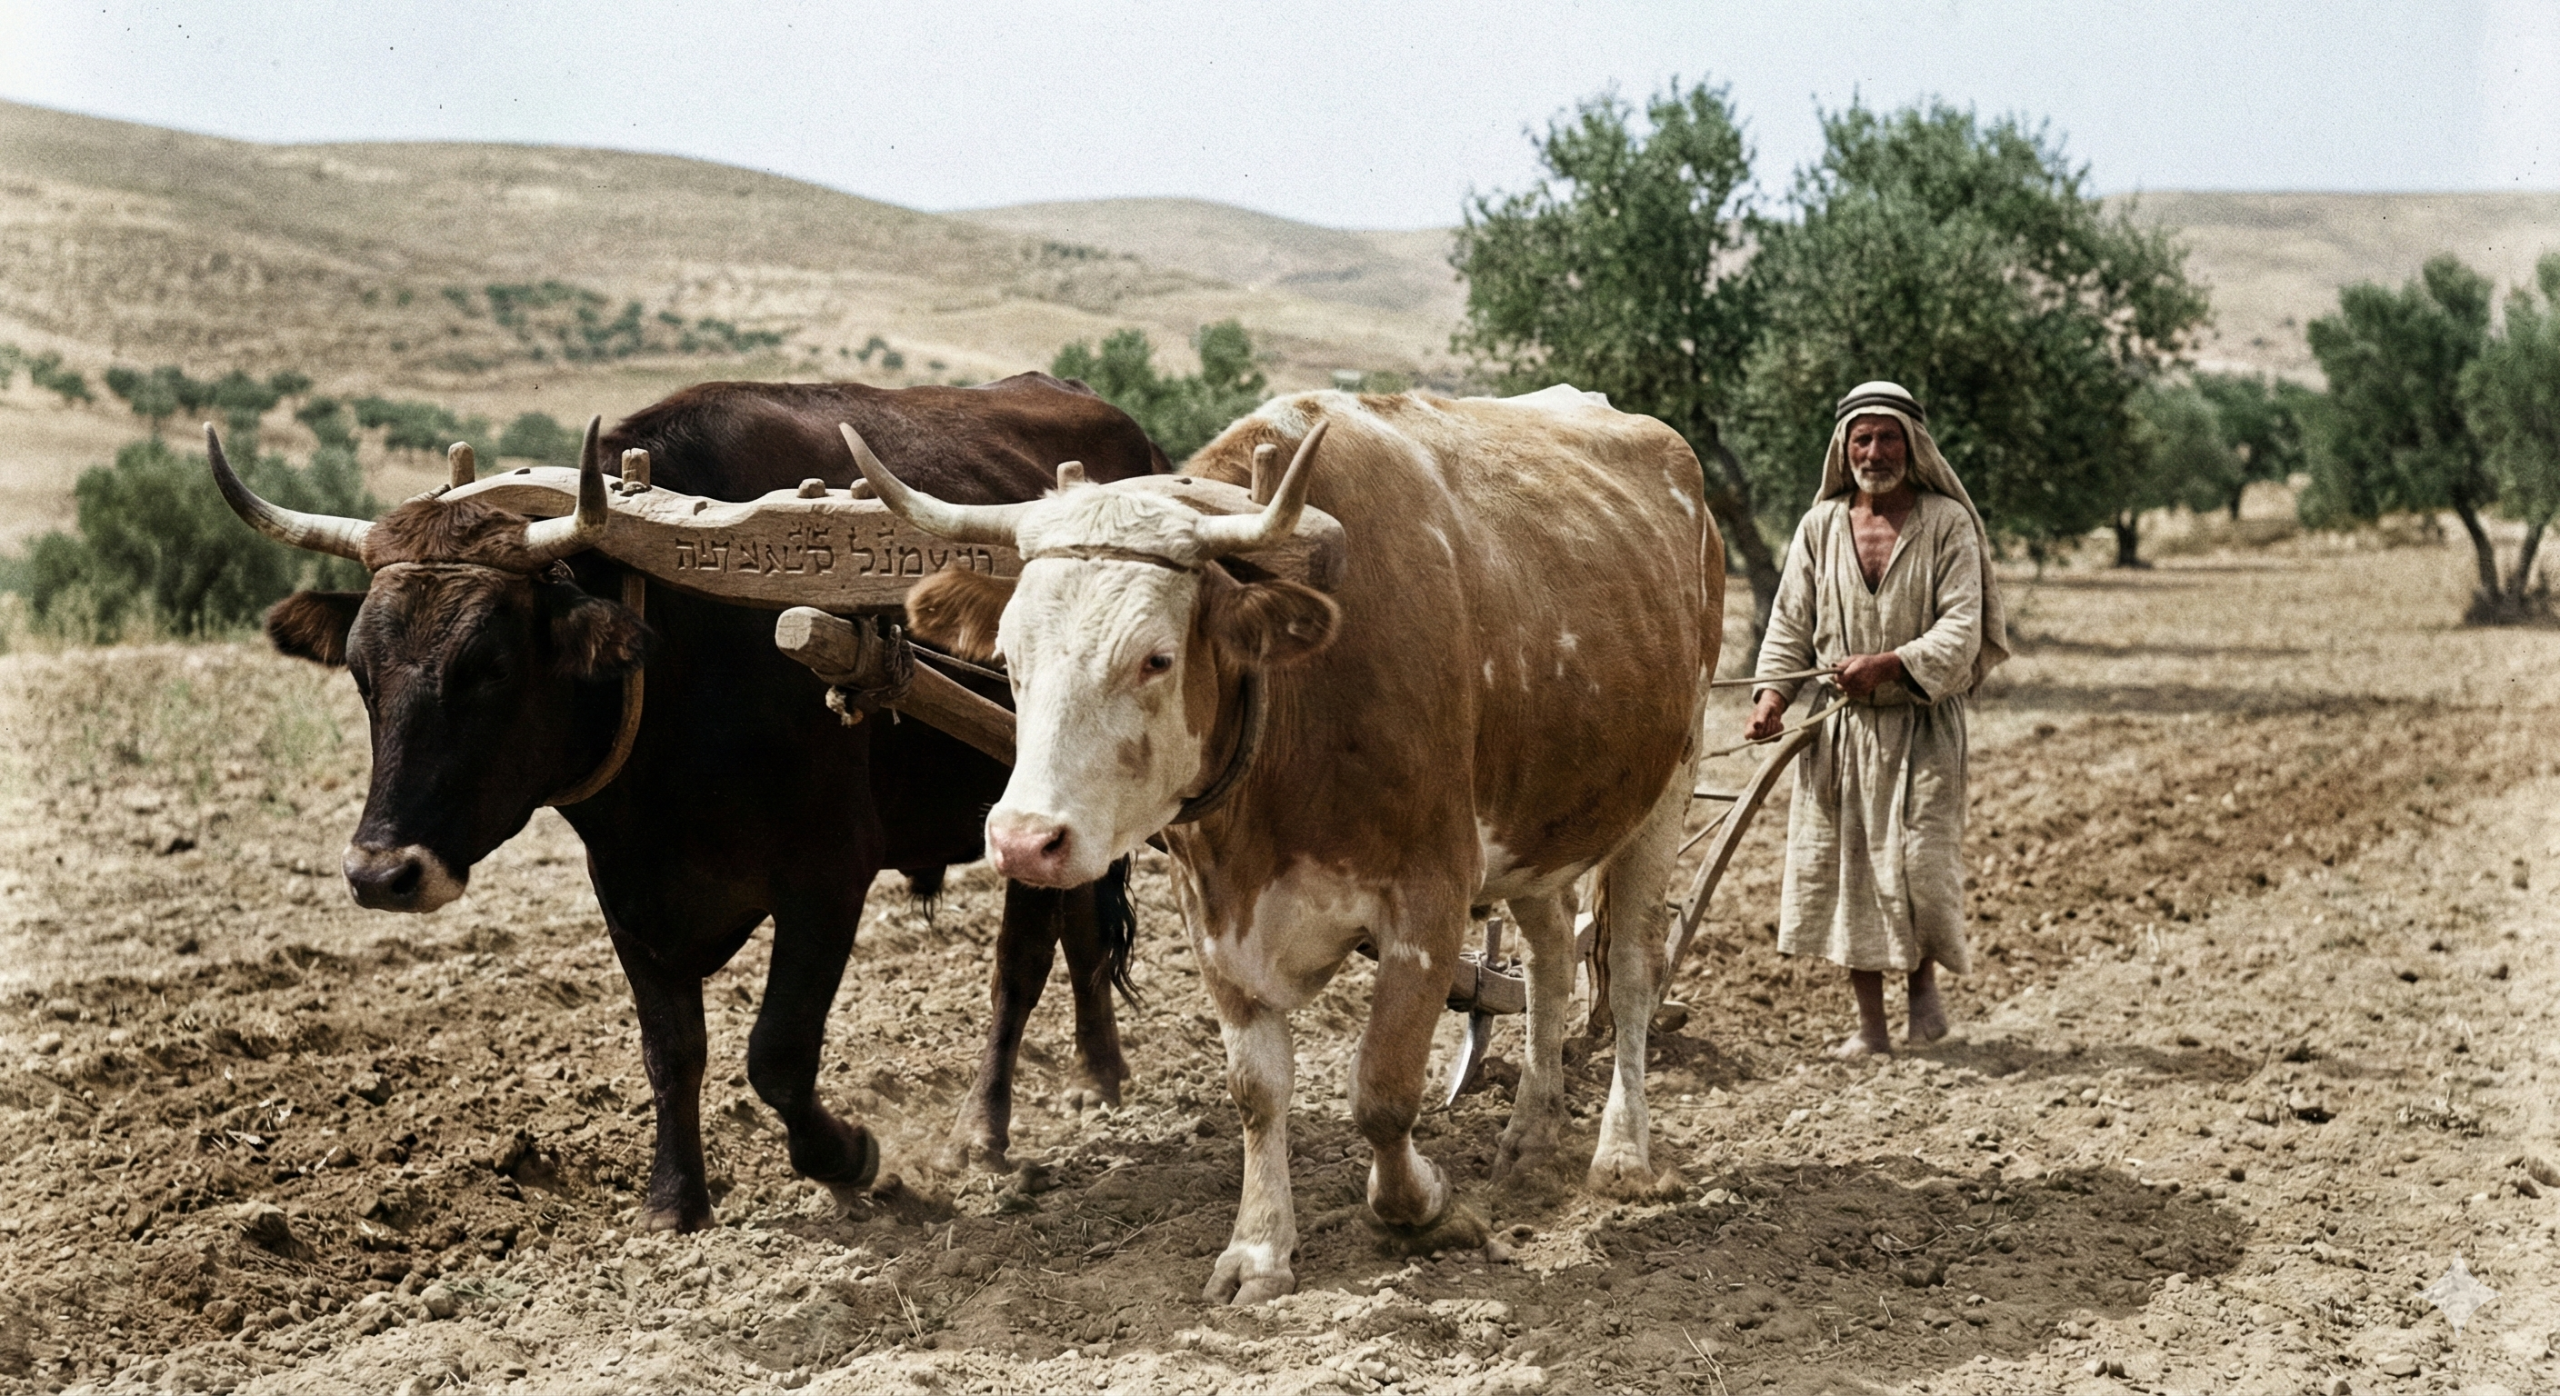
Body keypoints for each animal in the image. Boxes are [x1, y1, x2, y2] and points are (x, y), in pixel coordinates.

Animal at [206, 373, 1168, 1231]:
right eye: (360, 670)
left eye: (488, 665)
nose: (380, 873)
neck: (684, 651)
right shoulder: (627, 894)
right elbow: (671, 1050)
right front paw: (675, 1202)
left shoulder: (827, 877)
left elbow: (776, 1053)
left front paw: (853, 1157)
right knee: (1083, 931)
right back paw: (1102, 1078)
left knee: (1021, 963)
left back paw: (985, 1129)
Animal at [849, 385, 1722, 1303]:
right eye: (1009, 656)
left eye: (1156, 659)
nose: (1024, 842)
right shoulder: (1214, 915)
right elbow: (1256, 1089)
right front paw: (1260, 1248)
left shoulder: (1430, 897)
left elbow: (1382, 1087)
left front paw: (1423, 1209)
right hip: (1538, 824)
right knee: (1551, 954)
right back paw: (1531, 1132)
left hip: (1670, 779)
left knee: (1630, 970)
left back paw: (1622, 1155)